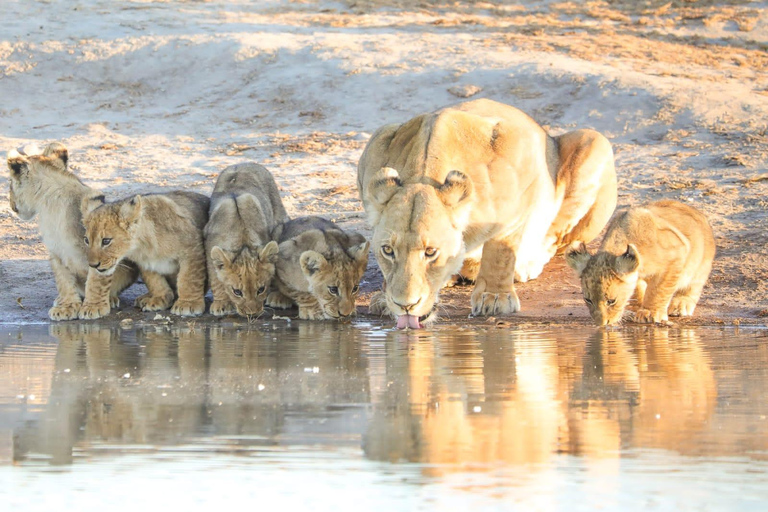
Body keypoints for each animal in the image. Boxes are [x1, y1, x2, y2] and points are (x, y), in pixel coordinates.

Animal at [360, 99, 616, 328]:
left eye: (431, 252)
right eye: (387, 250)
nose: (405, 305)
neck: (424, 174)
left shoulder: (522, 174)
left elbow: (500, 250)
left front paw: (495, 297)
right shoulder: (378, 141)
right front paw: (383, 299)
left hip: (595, 141)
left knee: (557, 238)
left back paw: (525, 265)